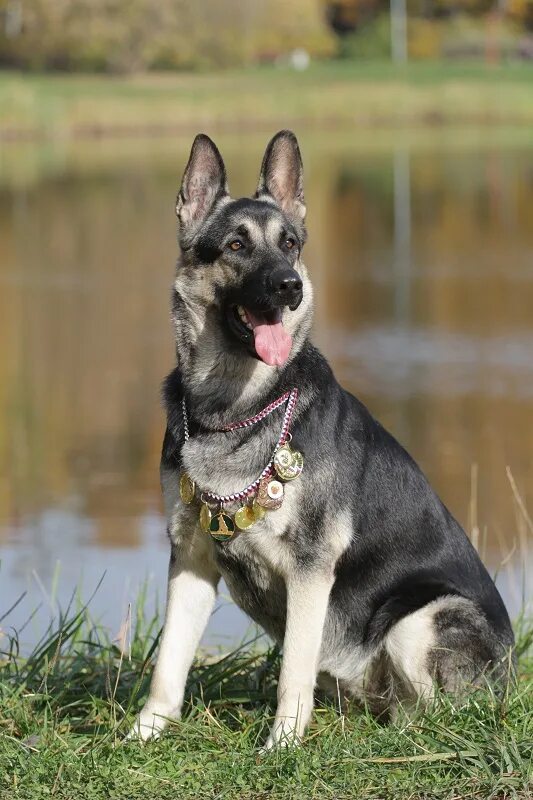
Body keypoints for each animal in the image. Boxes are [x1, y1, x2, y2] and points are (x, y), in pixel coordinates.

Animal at [128, 128, 512, 748]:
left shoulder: (310, 571)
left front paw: (281, 745)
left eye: (290, 244)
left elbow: (293, 669)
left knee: (441, 715)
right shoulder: (190, 557)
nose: (289, 285)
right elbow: (169, 662)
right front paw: (146, 732)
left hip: (416, 619)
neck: (234, 410)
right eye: (235, 244)